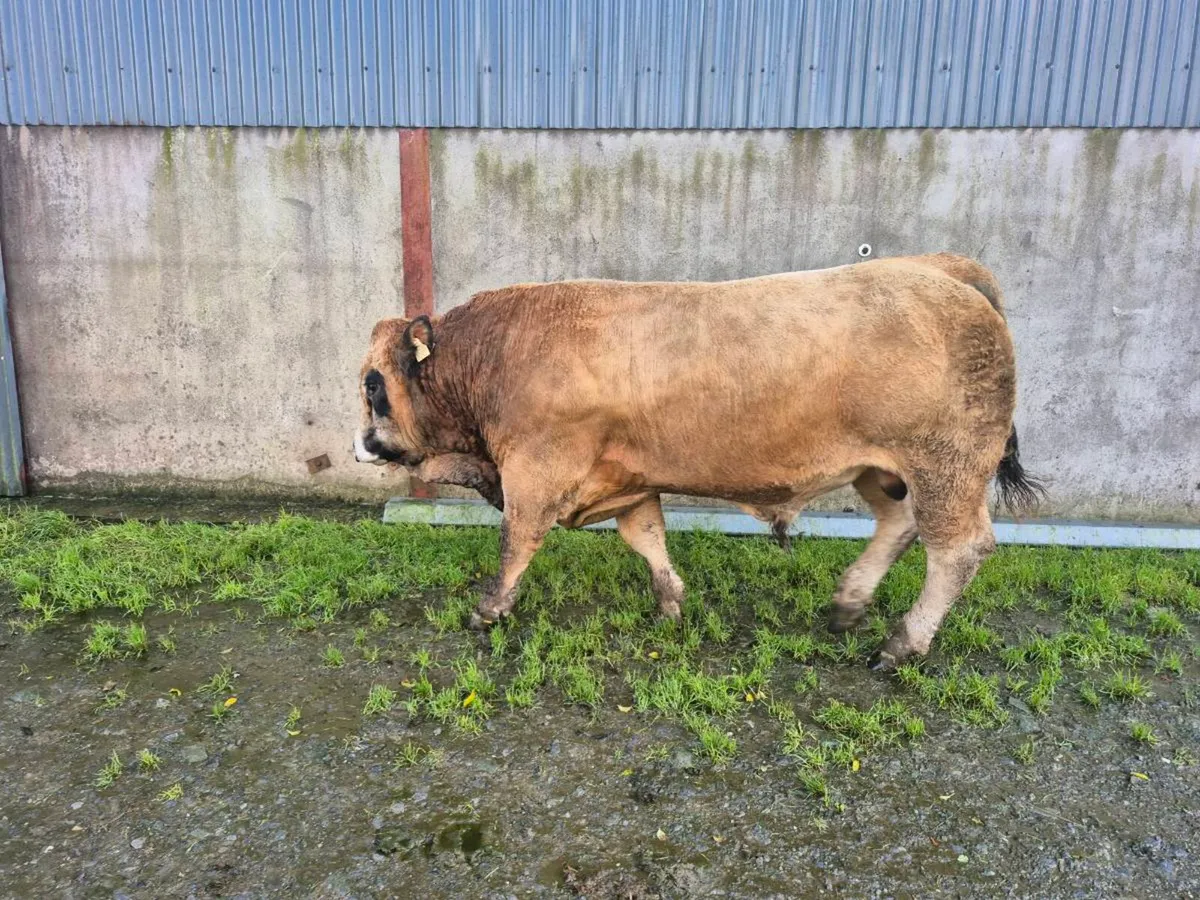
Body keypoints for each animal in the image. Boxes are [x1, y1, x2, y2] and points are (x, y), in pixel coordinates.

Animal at [353, 253, 1042, 670]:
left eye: (372, 384)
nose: (362, 443)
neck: (494, 355)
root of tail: (937, 268)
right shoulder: (628, 479)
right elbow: (647, 538)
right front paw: (671, 603)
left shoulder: (535, 471)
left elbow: (515, 542)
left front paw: (487, 610)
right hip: (885, 471)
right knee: (898, 527)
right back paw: (847, 605)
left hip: (944, 466)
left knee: (957, 551)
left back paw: (902, 644)